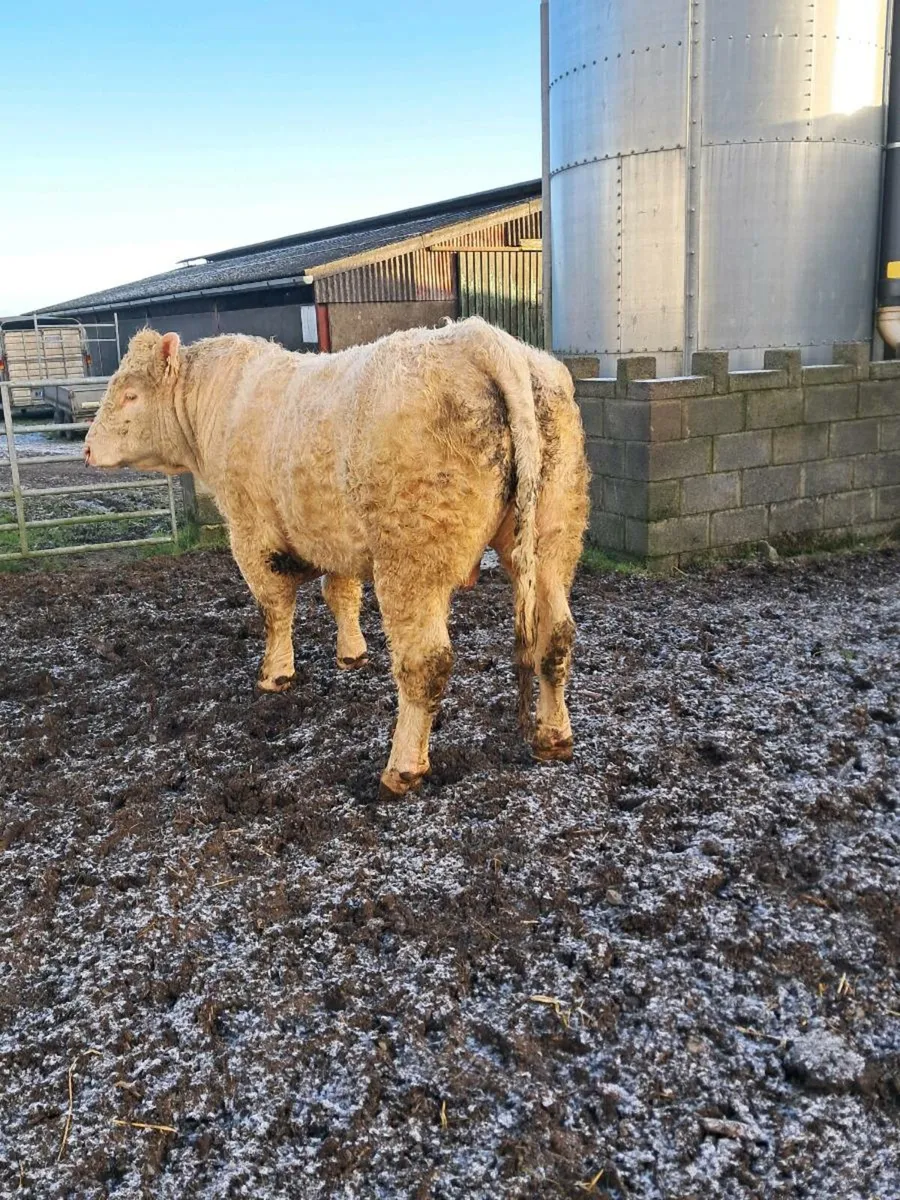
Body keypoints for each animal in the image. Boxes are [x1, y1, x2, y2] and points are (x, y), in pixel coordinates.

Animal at [85, 318, 589, 799]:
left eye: (130, 395)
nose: (86, 447)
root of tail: (483, 338)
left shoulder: (251, 533)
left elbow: (274, 608)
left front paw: (275, 674)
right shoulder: (333, 537)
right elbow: (341, 595)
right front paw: (351, 654)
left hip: (411, 560)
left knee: (426, 663)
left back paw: (401, 770)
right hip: (553, 539)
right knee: (556, 635)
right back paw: (554, 738)